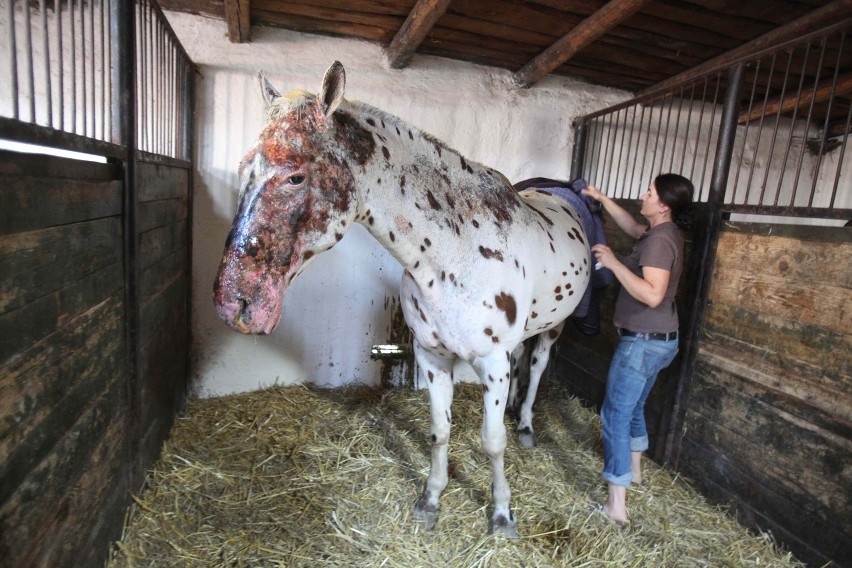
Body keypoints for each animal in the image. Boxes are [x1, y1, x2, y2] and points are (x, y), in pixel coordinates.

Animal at [211, 62, 592, 536]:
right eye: (243, 167)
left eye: (296, 175)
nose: (234, 303)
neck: (456, 254)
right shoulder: (432, 356)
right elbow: (440, 431)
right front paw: (430, 500)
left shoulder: (491, 360)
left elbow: (492, 442)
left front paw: (502, 513)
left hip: (555, 326)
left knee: (537, 365)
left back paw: (524, 425)